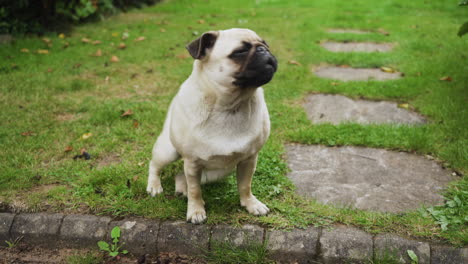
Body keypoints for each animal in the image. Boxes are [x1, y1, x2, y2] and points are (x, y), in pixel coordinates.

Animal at [147, 28, 278, 223]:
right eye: (240, 52)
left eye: (266, 44)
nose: (264, 50)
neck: (231, 106)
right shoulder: (192, 162)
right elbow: (195, 191)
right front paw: (195, 211)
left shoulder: (249, 159)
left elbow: (245, 185)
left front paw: (250, 204)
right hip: (168, 152)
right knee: (155, 165)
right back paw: (154, 186)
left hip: (217, 172)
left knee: (180, 176)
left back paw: (181, 188)